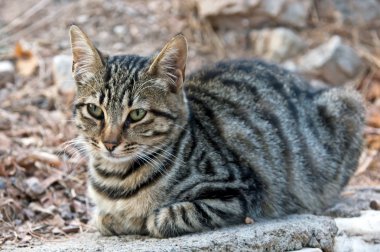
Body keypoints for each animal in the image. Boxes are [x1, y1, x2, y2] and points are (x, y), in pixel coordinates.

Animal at [69, 24, 366, 237]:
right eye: (95, 110)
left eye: (137, 114)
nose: (109, 143)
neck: (117, 180)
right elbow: (103, 219)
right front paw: (117, 218)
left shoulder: (239, 191)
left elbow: (168, 216)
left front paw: (144, 220)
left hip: (349, 103)